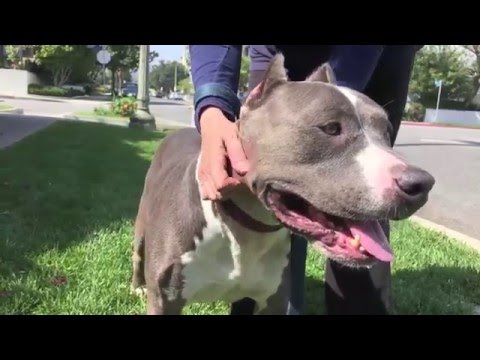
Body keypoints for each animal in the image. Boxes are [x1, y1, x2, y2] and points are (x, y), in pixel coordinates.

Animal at [130, 54, 436, 316]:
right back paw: (137, 286)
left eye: (386, 132)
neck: (246, 229)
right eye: (330, 128)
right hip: (142, 224)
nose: (421, 184)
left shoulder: (274, 301)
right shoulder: (166, 301)